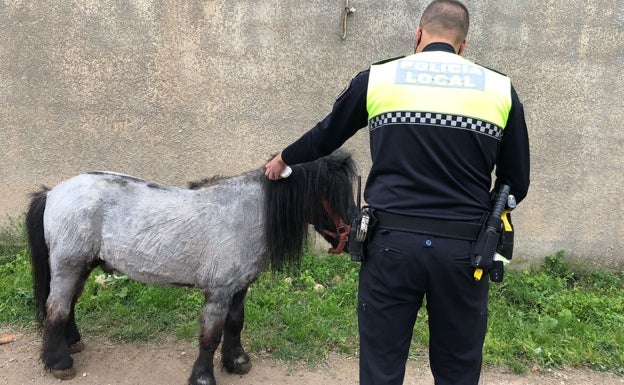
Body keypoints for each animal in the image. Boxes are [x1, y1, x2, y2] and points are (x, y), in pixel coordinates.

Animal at [25, 150, 356, 384]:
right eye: (331, 193)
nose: (354, 233)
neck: (244, 214)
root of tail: (52, 192)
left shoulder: (239, 288)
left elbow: (235, 324)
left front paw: (237, 362)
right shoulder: (219, 292)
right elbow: (210, 335)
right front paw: (203, 377)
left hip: (81, 266)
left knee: (68, 305)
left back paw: (72, 344)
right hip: (68, 265)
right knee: (57, 308)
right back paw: (60, 363)